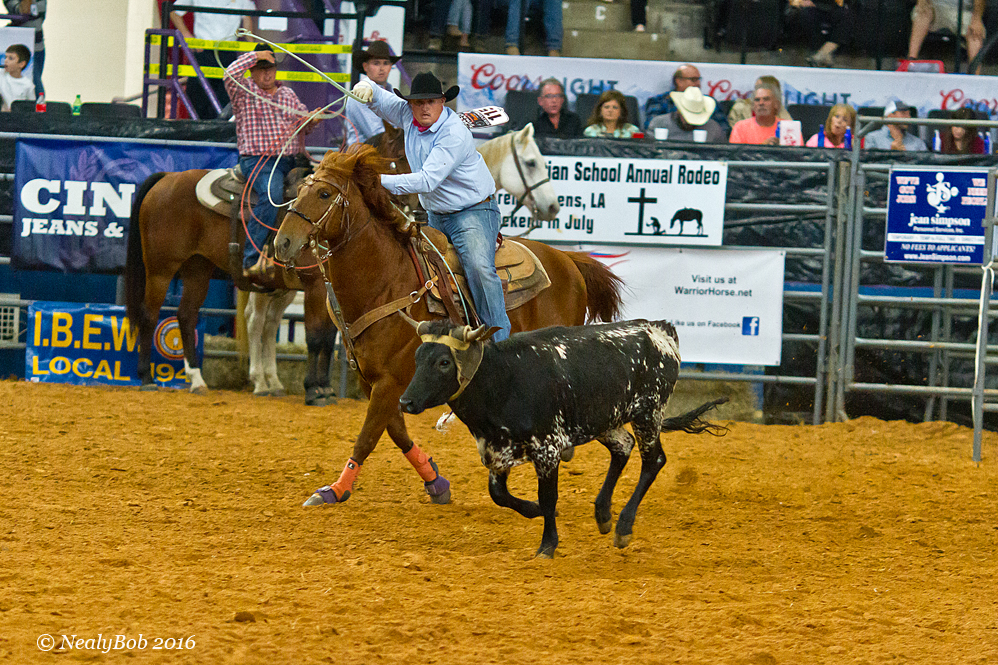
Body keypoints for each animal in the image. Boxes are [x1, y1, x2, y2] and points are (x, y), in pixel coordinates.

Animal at [125, 166, 340, 404]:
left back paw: (198, 380)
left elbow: (329, 338)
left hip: (198, 268)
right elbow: (315, 337)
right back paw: (147, 379)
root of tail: (168, 177)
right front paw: (312, 390)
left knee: (187, 315)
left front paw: (327, 388)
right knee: (149, 315)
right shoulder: (314, 286)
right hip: (160, 269)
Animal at [270, 145, 620, 506]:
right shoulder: (373, 381)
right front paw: (435, 481)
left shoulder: (390, 381)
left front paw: (336, 489)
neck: (385, 280)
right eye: (298, 190)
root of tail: (568, 260)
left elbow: (367, 437)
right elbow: (396, 432)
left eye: (324, 194)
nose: (282, 244)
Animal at [402, 316, 732, 556]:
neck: (504, 379)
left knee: (654, 461)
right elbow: (499, 494)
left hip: (648, 414)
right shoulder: (497, 451)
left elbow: (548, 498)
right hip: (605, 420)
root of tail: (659, 329)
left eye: (444, 362)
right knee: (623, 447)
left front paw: (547, 544)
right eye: (417, 358)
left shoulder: (547, 449)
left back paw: (623, 527)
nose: (405, 402)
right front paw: (533, 511)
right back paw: (603, 514)